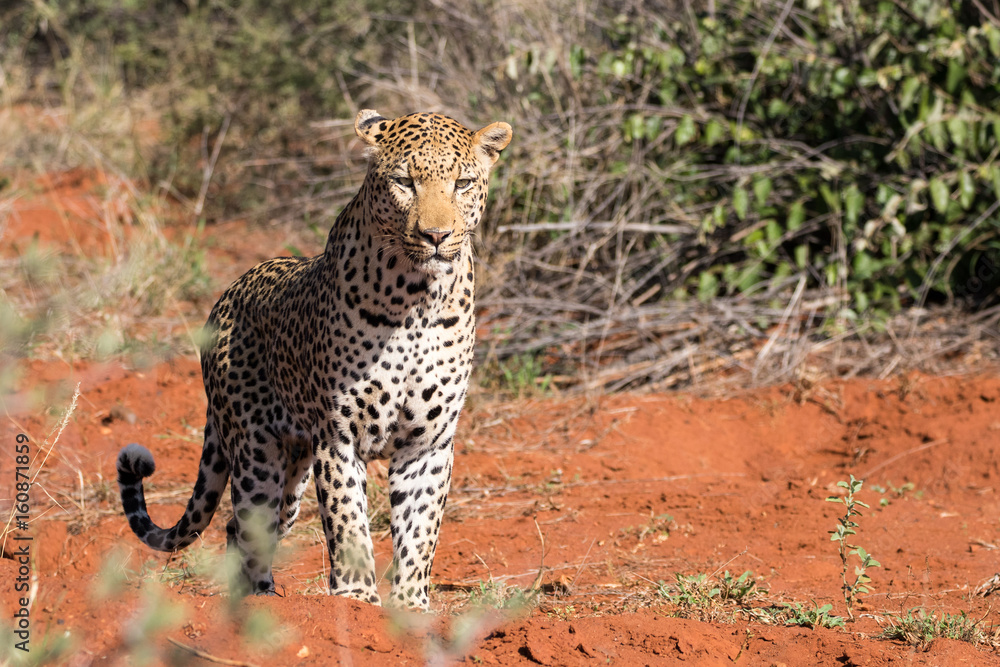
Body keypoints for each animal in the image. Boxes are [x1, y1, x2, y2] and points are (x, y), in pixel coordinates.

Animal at [117, 110, 512, 610]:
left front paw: (411, 606)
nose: (436, 236)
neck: (417, 298)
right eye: (404, 182)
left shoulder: (429, 445)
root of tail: (228, 293)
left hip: (295, 471)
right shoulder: (339, 437)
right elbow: (349, 523)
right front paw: (356, 598)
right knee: (246, 523)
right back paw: (257, 601)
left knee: (238, 529)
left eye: (462, 183)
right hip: (257, 454)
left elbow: (420, 530)